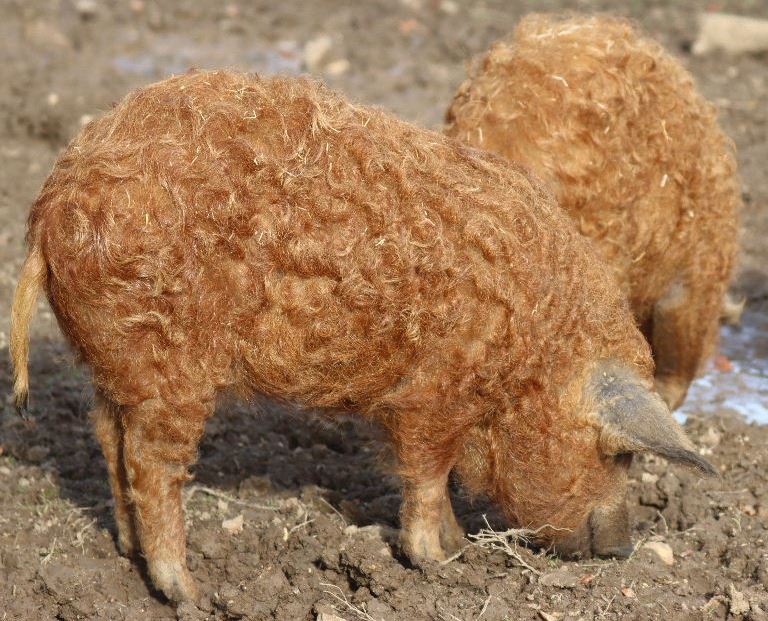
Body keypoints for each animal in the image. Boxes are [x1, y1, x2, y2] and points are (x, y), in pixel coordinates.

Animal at [10, 70, 713, 604]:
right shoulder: (435, 392)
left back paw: (128, 550)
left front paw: (458, 546)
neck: (533, 356)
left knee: (108, 438)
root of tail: (50, 206)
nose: (623, 548)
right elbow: (425, 474)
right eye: (617, 455)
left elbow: (436, 477)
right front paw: (437, 563)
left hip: (114, 359)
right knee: (151, 462)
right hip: (169, 365)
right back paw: (190, 591)